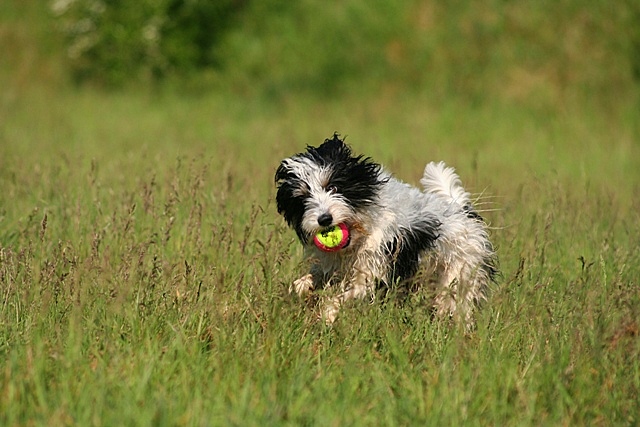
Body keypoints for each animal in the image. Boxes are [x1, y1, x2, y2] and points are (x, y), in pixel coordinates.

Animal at [272, 134, 498, 324]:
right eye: (302, 199)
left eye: (333, 187)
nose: (324, 219)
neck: (362, 229)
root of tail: (463, 211)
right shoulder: (332, 264)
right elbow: (309, 279)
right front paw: (300, 288)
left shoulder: (373, 268)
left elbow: (347, 295)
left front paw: (326, 315)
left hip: (459, 276)